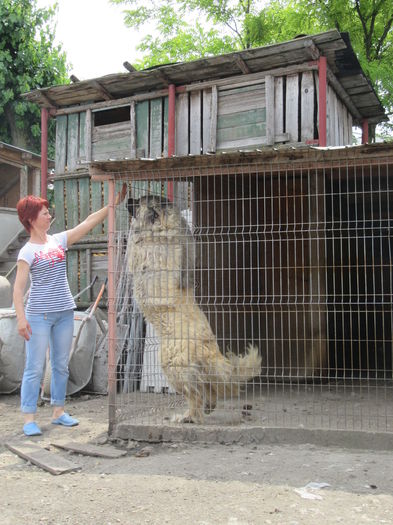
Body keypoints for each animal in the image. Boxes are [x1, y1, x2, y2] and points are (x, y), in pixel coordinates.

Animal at [126, 194, 260, 424]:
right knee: (207, 389)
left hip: (173, 365)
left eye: (141, 202)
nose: (129, 198)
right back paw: (207, 407)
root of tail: (209, 349)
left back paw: (188, 416)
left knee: (196, 394)